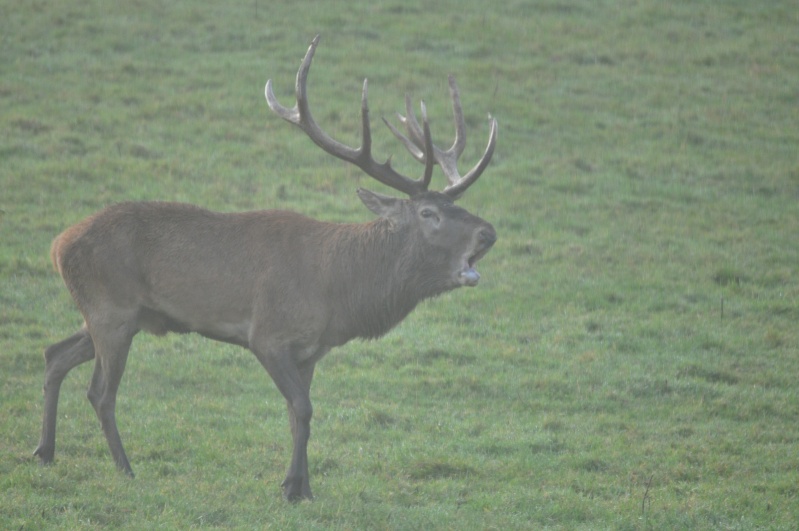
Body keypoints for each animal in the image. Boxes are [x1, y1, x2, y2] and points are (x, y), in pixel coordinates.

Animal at [34, 35, 496, 500]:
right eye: (428, 213)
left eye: (455, 207)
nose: (488, 232)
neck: (339, 293)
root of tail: (57, 245)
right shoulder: (268, 335)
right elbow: (303, 409)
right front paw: (291, 486)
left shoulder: (311, 351)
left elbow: (298, 414)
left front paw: (304, 487)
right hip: (111, 310)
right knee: (100, 392)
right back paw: (124, 469)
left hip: (110, 315)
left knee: (55, 353)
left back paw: (44, 451)